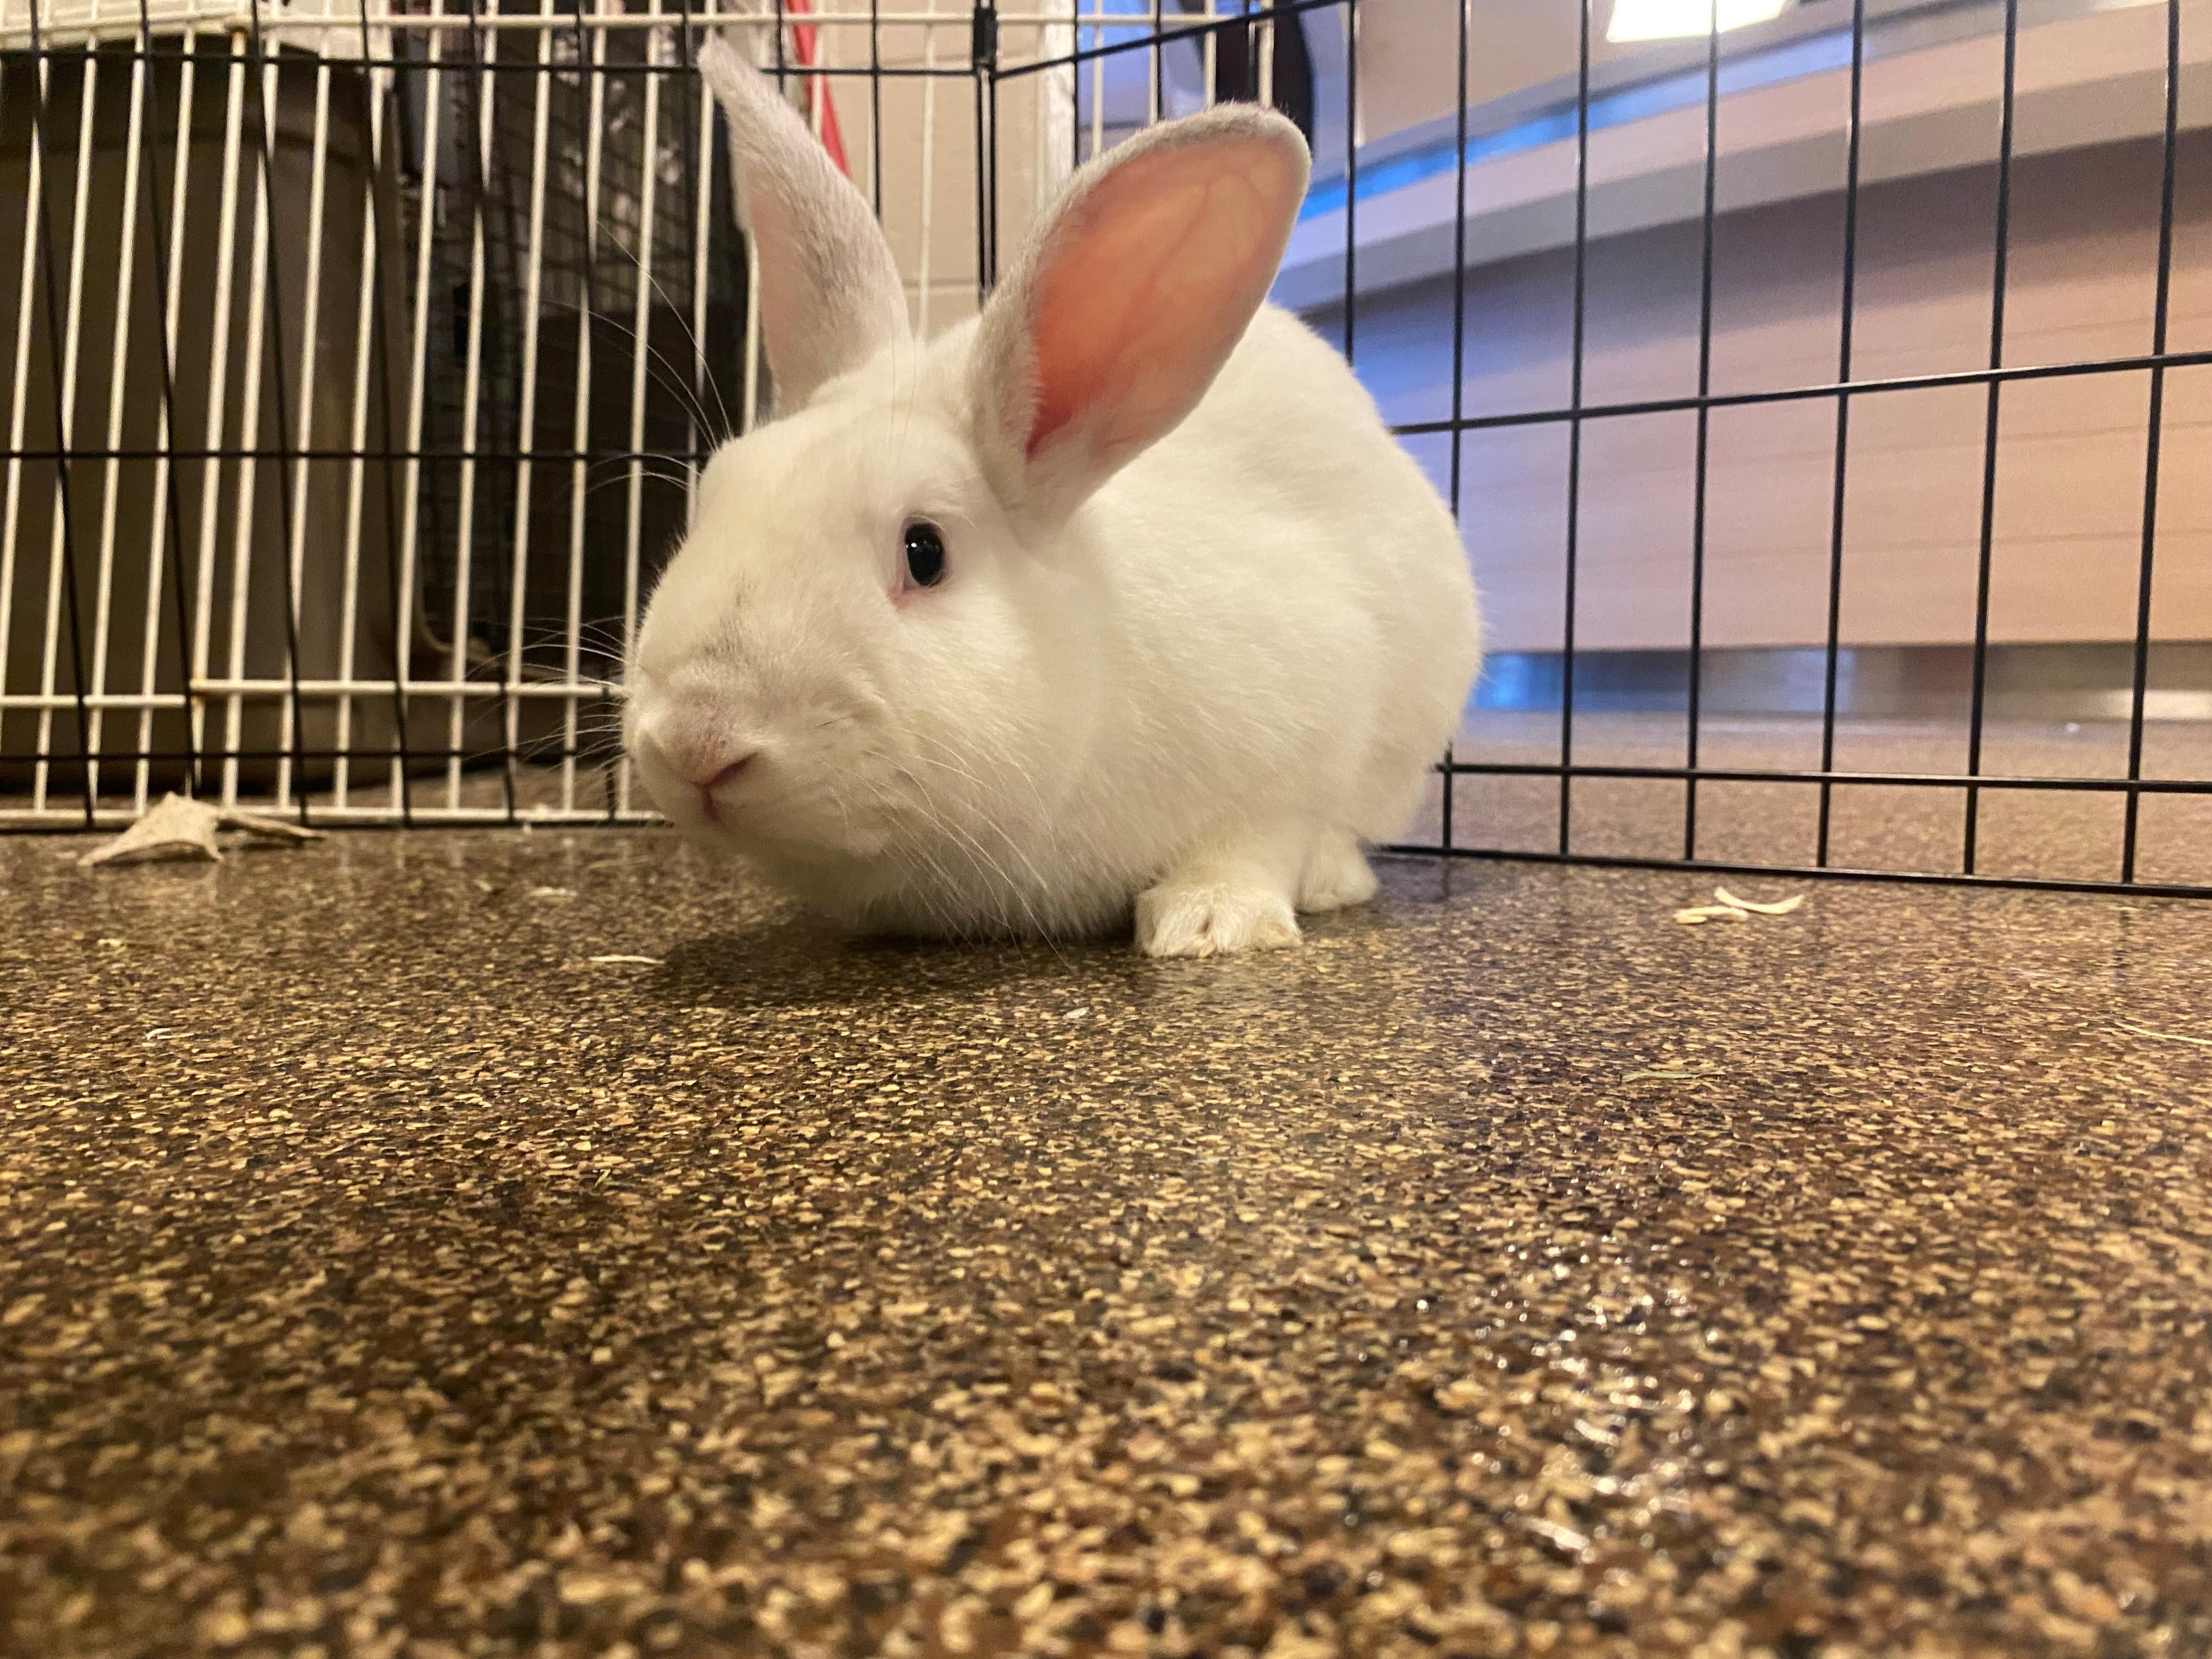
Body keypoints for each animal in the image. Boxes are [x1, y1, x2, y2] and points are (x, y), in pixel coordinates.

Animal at [624, 39, 1481, 958]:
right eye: (712, 497)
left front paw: (1209, 921)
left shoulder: (1309, 725)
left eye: (924, 551)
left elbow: (1260, 836)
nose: (698, 739)